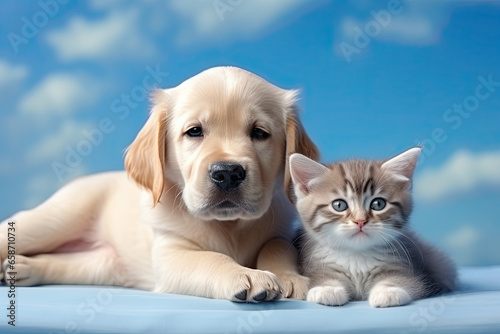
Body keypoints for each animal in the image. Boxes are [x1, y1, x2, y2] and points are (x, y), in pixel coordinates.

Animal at [0, 66, 318, 302]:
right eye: (194, 131)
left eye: (260, 133)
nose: (227, 172)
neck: (228, 226)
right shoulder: (170, 254)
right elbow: (210, 258)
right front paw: (244, 274)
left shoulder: (279, 231)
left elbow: (277, 247)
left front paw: (289, 277)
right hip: (55, 219)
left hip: (106, 264)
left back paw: (23, 269)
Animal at [290, 148, 458, 308]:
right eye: (339, 205)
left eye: (378, 204)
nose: (360, 221)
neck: (356, 256)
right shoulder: (315, 265)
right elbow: (320, 278)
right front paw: (327, 288)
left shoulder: (411, 271)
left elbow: (403, 280)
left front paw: (389, 290)